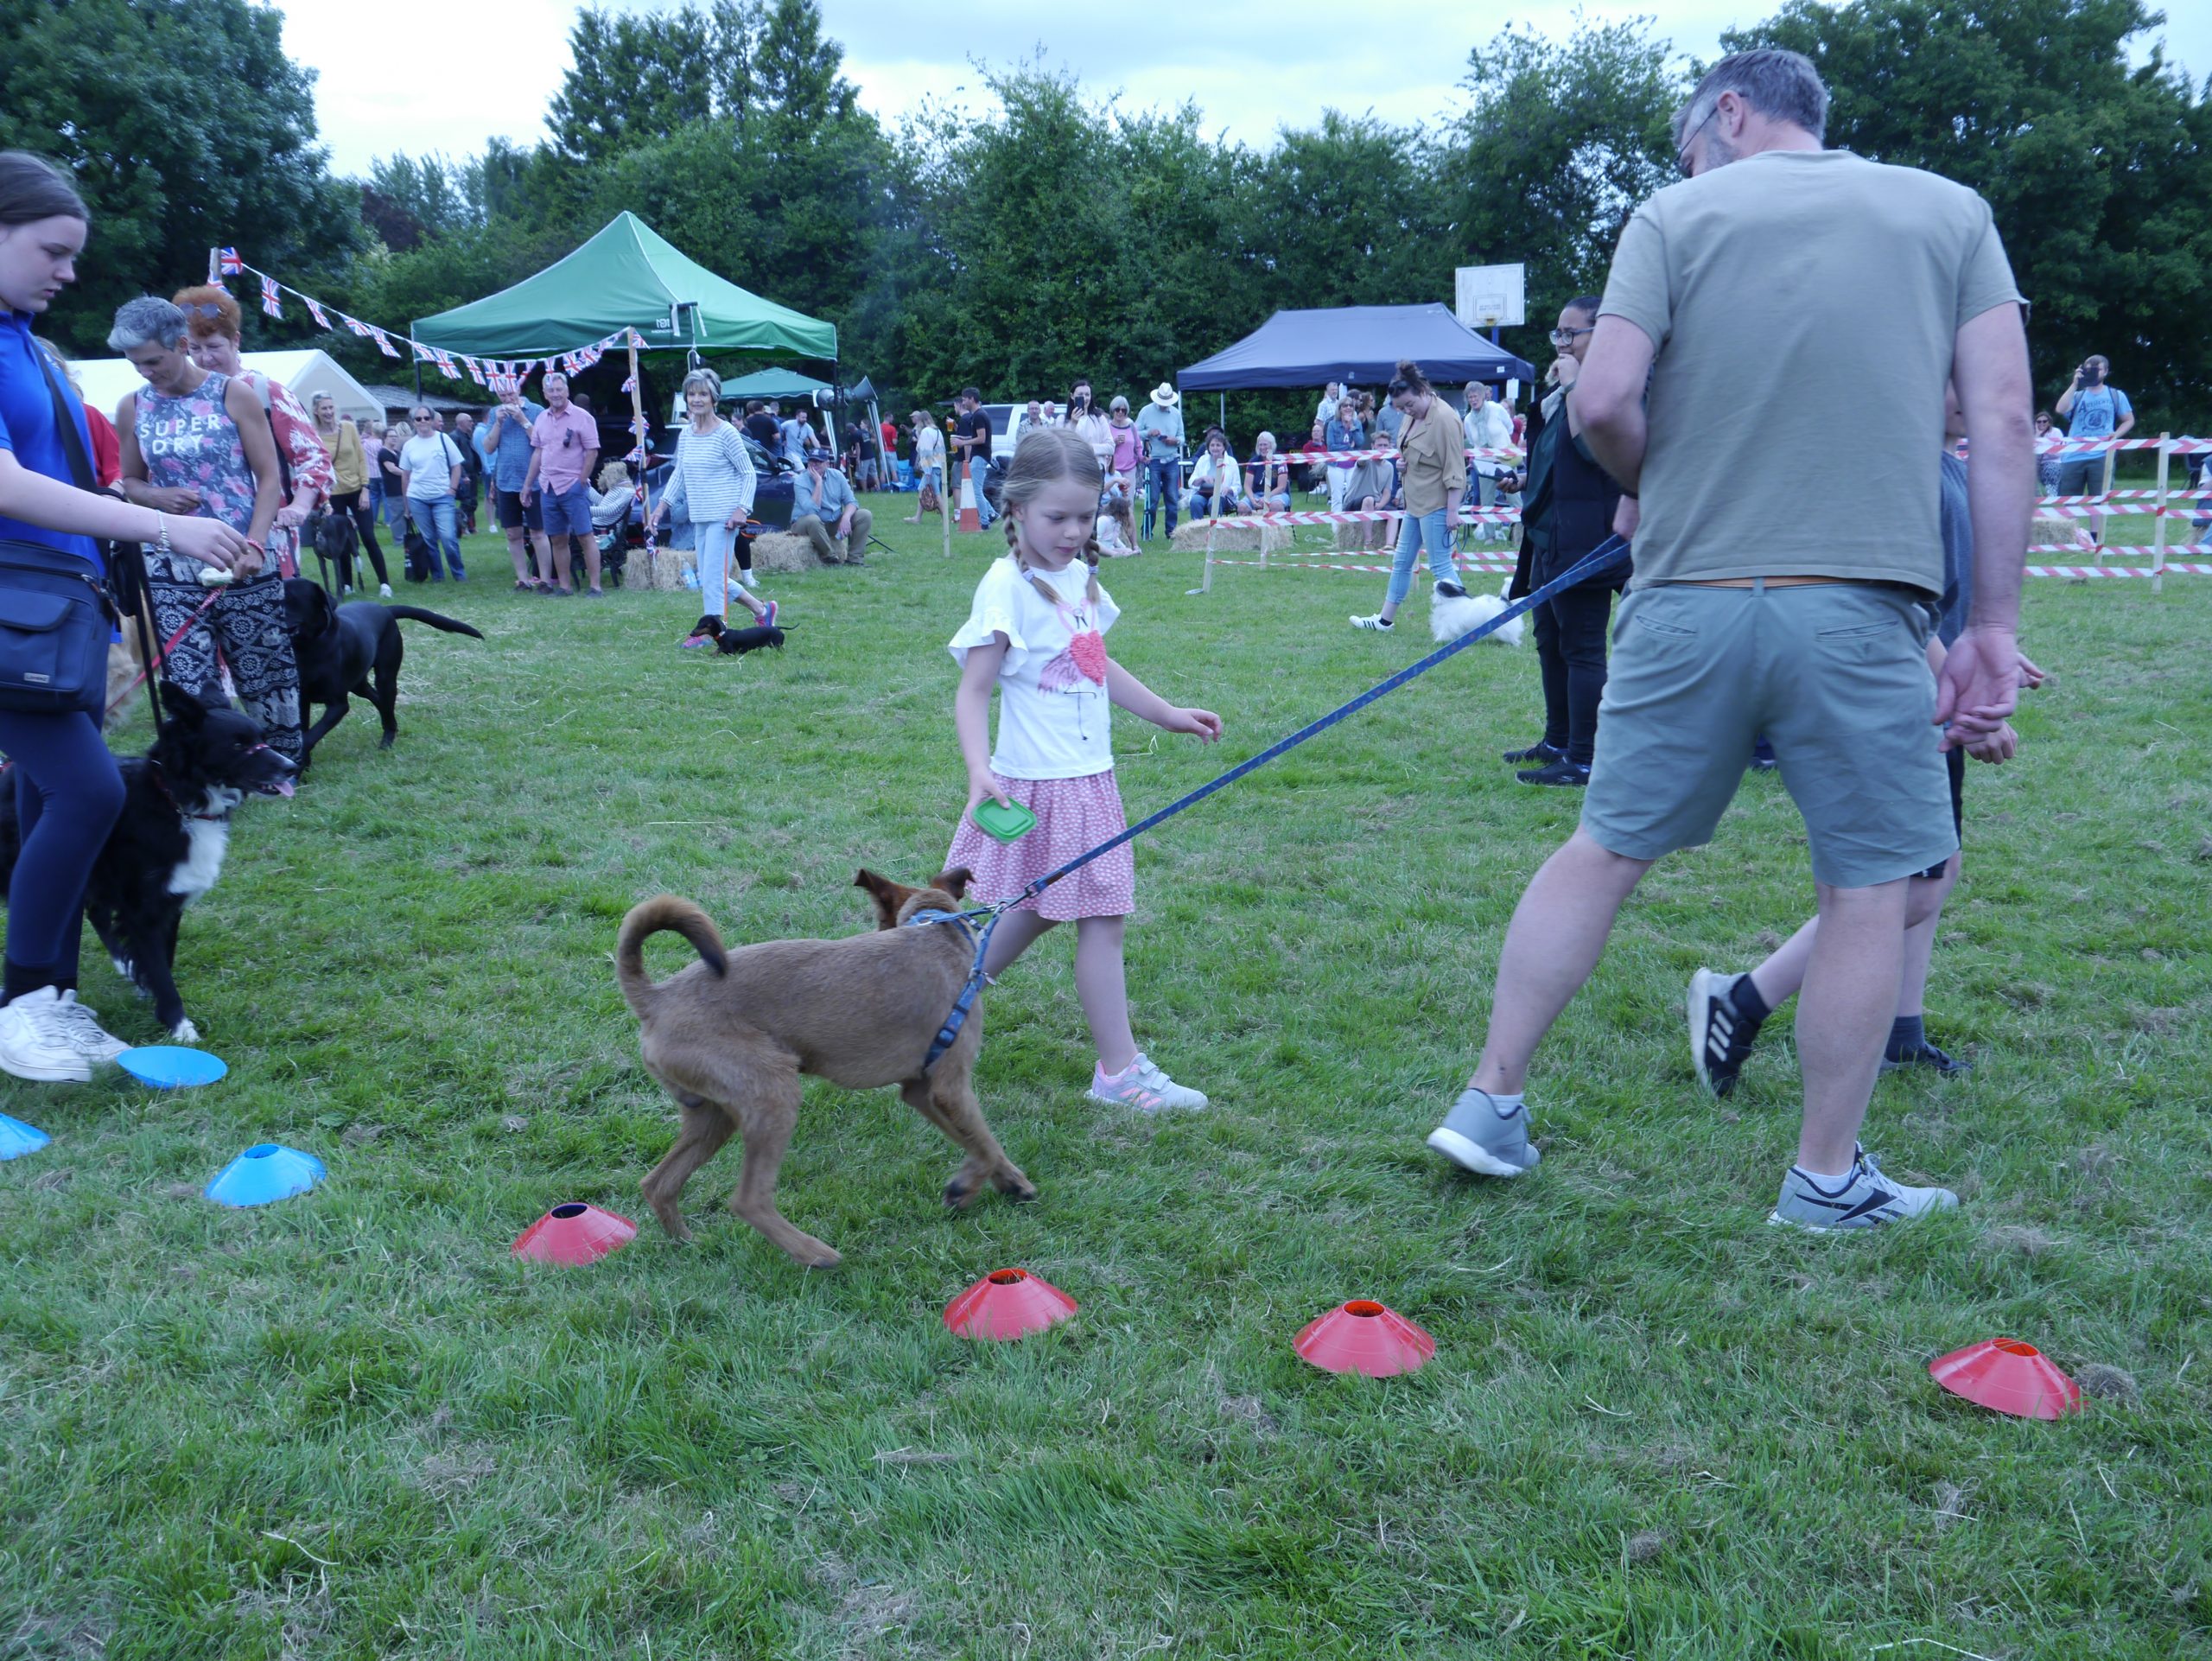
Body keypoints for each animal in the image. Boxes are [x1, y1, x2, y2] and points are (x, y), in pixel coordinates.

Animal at [0, 684, 296, 1042]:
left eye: (261, 737)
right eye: (238, 745)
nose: (291, 766)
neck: (176, 801)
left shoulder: (169, 898)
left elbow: (163, 959)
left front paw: (154, 998)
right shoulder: (142, 907)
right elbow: (158, 967)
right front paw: (181, 1028)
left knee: (96, 913)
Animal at [280, 577, 484, 763]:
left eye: (291, 599)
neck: (309, 648)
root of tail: (385, 609)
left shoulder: (338, 704)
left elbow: (309, 736)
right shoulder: (301, 700)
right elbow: (304, 732)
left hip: (386, 677)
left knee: (385, 701)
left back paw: (387, 740)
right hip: (359, 683)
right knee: (380, 702)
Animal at [616, 867, 1033, 1267]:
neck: (937, 928)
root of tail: (655, 999)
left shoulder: (922, 1092)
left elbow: (978, 1140)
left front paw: (1010, 1182)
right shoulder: (951, 1086)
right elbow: (985, 1143)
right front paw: (965, 1188)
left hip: (713, 1116)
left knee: (659, 1184)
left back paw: (688, 1244)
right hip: (773, 1094)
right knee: (748, 1199)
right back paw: (814, 1253)